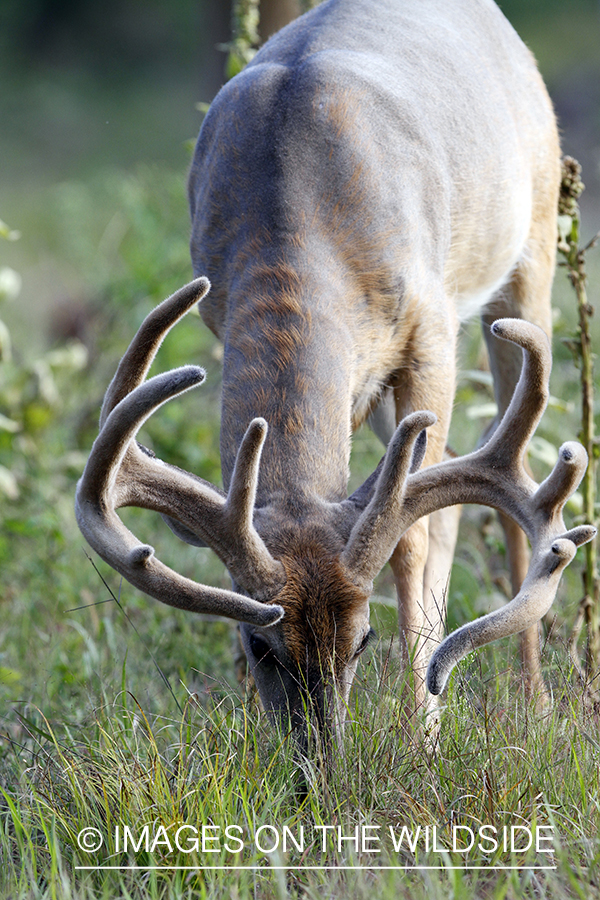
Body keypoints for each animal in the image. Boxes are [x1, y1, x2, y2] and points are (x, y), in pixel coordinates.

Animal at [75, 0, 596, 744]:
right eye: (259, 645)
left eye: (362, 639)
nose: (317, 759)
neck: (298, 211)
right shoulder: (222, 311)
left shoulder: (430, 326)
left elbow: (412, 538)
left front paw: (421, 727)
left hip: (532, 253)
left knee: (504, 483)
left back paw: (532, 700)